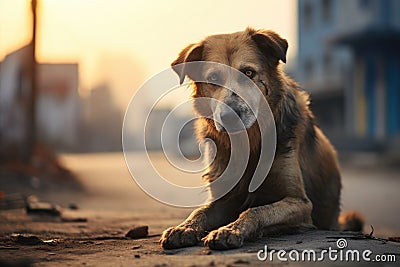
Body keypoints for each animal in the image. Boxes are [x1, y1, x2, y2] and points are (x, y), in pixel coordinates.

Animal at [159, 27, 362, 251]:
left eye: (248, 73)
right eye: (213, 78)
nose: (229, 116)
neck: (249, 142)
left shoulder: (300, 203)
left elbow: (256, 210)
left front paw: (230, 230)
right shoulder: (224, 199)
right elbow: (200, 211)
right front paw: (184, 227)